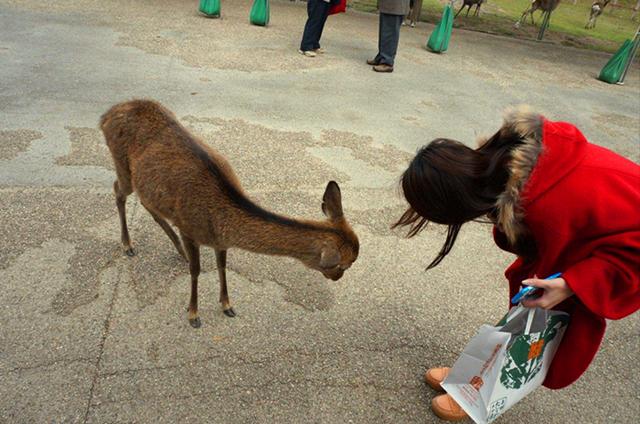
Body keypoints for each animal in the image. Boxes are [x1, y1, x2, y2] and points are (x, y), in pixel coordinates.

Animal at [100, 99, 360, 328]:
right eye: (343, 265)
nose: (337, 279)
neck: (220, 221)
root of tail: (105, 116)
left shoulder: (220, 241)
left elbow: (222, 266)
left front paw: (227, 305)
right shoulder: (189, 228)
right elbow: (196, 270)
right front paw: (193, 314)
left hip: (143, 181)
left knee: (146, 202)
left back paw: (177, 249)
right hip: (121, 164)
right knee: (118, 191)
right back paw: (128, 245)